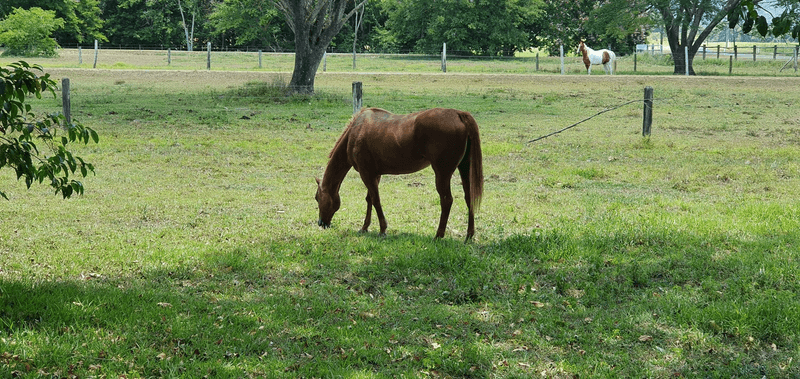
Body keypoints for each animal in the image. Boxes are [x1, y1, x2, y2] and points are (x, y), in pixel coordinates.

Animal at [316, 108, 484, 242]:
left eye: (317, 198)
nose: (321, 223)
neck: (356, 130)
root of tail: (458, 114)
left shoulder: (366, 173)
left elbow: (376, 200)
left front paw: (382, 229)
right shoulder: (375, 174)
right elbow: (370, 199)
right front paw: (364, 227)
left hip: (442, 173)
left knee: (447, 200)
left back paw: (438, 235)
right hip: (464, 168)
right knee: (469, 197)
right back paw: (469, 235)